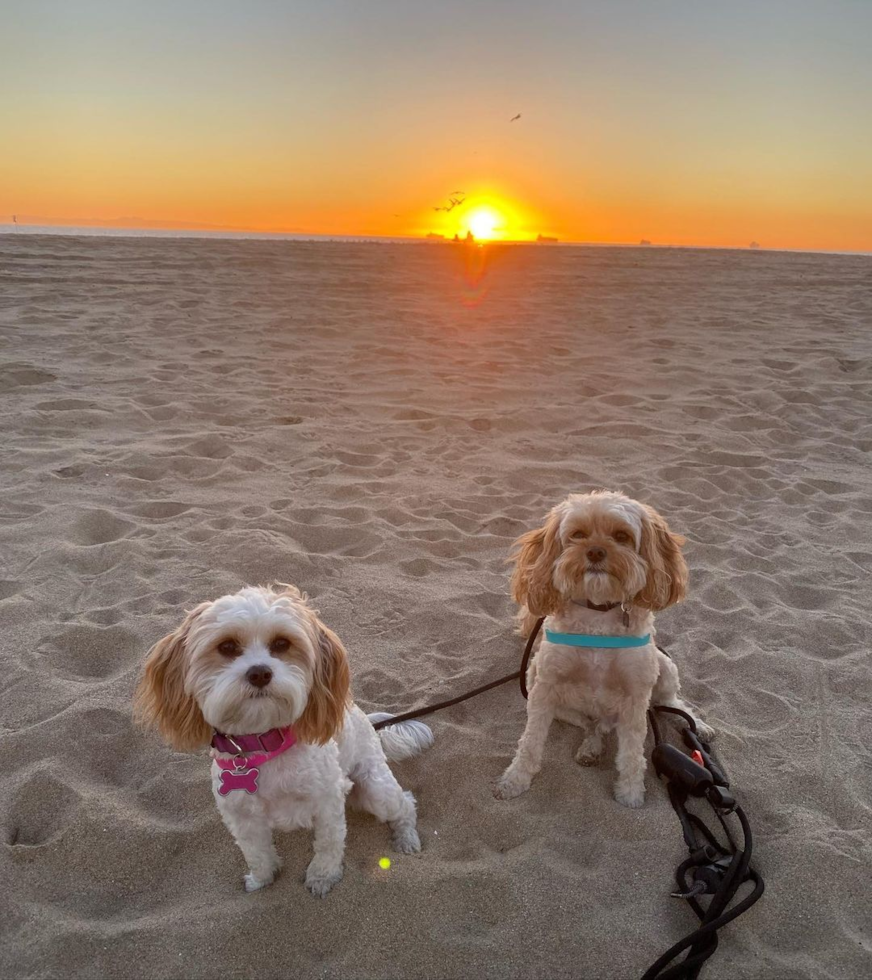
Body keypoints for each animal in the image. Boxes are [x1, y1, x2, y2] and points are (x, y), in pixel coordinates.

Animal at [135, 580, 432, 896]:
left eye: (281, 644)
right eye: (226, 647)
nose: (259, 673)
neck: (264, 743)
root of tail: (366, 719)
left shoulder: (327, 803)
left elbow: (328, 845)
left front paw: (322, 877)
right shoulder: (242, 817)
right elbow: (257, 853)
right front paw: (262, 879)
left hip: (375, 789)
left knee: (406, 803)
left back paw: (406, 837)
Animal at [494, 494, 712, 808]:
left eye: (621, 536)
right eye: (577, 535)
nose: (595, 551)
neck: (597, 613)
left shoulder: (635, 697)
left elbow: (633, 753)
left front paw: (630, 792)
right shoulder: (544, 688)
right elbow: (530, 741)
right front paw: (515, 779)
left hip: (664, 667)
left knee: (672, 702)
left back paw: (700, 726)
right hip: (540, 684)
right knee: (591, 725)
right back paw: (591, 747)